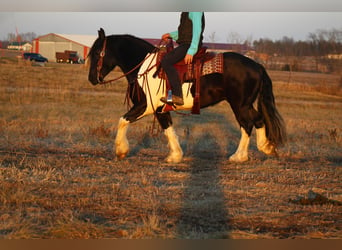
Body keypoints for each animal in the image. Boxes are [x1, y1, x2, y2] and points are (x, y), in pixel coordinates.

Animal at [88, 28, 286, 163]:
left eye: (97, 52)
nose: (91, 79)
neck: (144, 66)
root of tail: (257, 66)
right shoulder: (160, 108)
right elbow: (168, 127)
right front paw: (175, 155)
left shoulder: (145, 106)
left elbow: (123, 120)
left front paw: (121, 150)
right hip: (244, 104)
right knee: (258, 120)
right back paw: (265, 148)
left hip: (240, 104)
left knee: (249, 123)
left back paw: (240, 156)